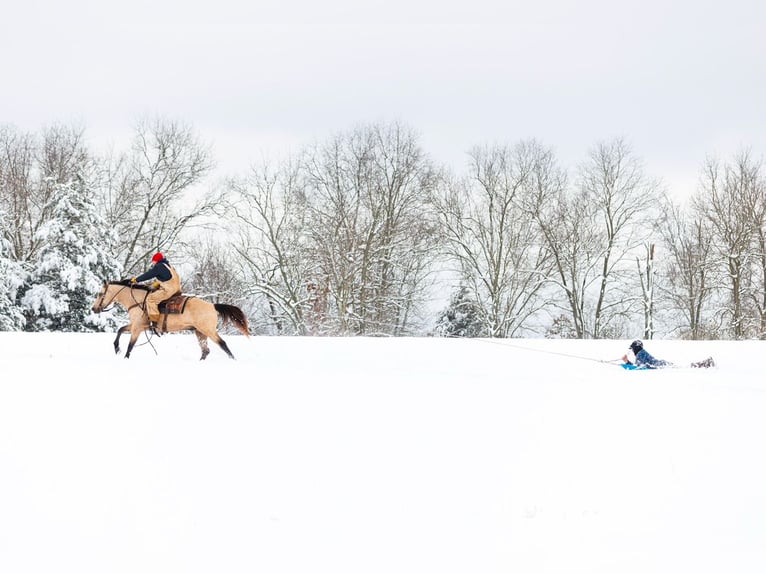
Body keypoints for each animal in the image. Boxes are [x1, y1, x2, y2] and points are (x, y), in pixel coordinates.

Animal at [91, 282, 250, 362]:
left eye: (100, 294)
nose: (93, 308)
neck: (138, 301)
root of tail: (212, 305)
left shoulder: (137, 328)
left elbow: (130, 346)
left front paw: (125, 358)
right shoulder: (138, 326)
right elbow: (120, 330)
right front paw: (116, 348)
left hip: (208, 331)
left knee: (222, 344)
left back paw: (233, 360)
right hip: (200, 332)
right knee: (205, 351)